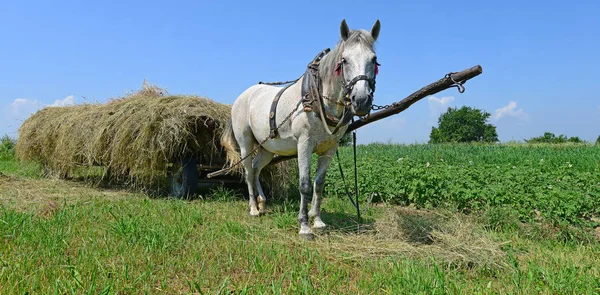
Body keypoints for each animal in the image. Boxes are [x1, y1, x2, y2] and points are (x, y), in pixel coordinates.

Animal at [223, 19, 382, 240]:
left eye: (374, 60)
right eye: (344, 60)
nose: (361, 100)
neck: (319, 99)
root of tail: (242, 96)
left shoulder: (330, 149)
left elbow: (319, 184)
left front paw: (318, 221)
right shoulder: (304, 144)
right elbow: (305, 184)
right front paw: (304, 225)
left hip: (267, 148)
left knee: (256, 169)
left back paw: (263, 203)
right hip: (245, 143)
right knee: (247, 172)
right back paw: (253, 208)